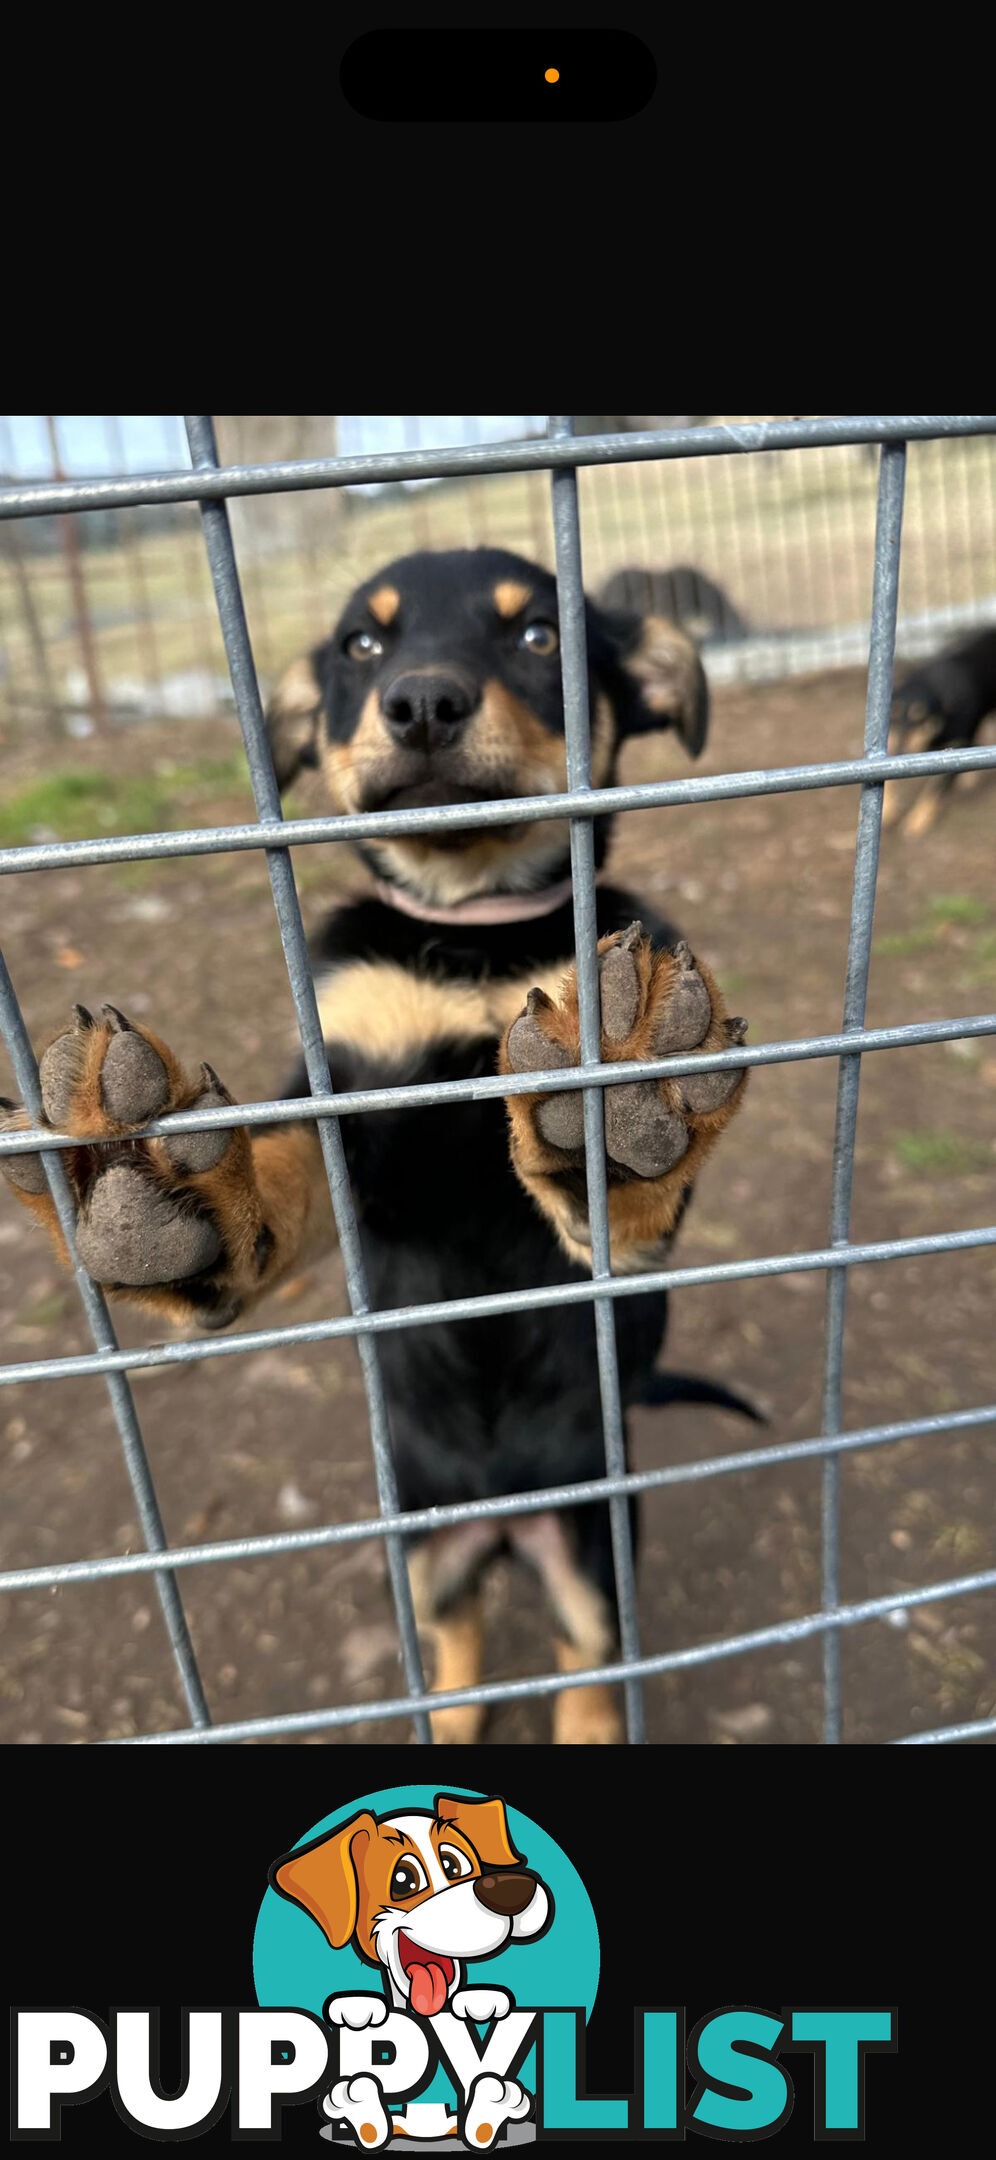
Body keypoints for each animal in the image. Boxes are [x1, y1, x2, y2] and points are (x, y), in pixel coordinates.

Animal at [0, 548, 747, 1745]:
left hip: (596, 1548)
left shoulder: (617, 1255)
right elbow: (282, 1173)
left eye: (538, 635)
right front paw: (156, 1192)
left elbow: (617, 1208)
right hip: (421, 1555)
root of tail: (501, 1521)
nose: (424, 703)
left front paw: (622, 1104)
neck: (470, 933)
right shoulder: (347, 1112)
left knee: (589, 1664)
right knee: (459, 1644)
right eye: (362, 644)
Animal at [881, 626, 993, 833]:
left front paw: (918, 820)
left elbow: (934, 790)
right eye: (893, 716)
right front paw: (888, 810)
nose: (899, 748)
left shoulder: (955, 750)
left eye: (921, 718)